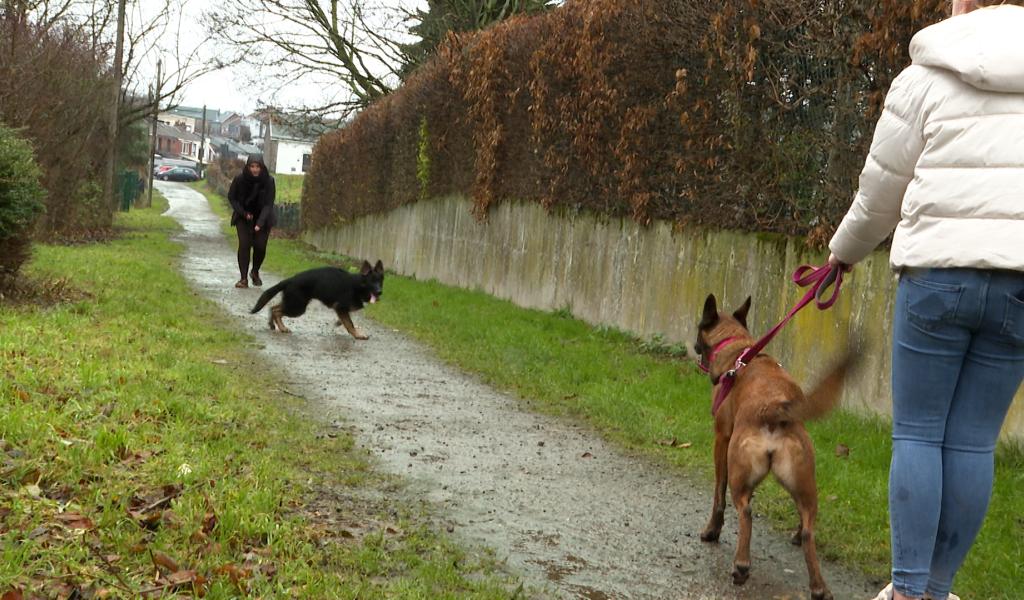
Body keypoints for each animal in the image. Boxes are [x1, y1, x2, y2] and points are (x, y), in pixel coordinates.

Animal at [696, 294, 856, 597]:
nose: (696, 349)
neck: (739, 349)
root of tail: (774, 410)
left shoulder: (721, 439)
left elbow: (718, 495)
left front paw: (712, 531)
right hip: (804, 483)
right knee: (807, 531)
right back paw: (818, 587)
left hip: (740, 469)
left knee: (745, 511)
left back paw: (741, 566)